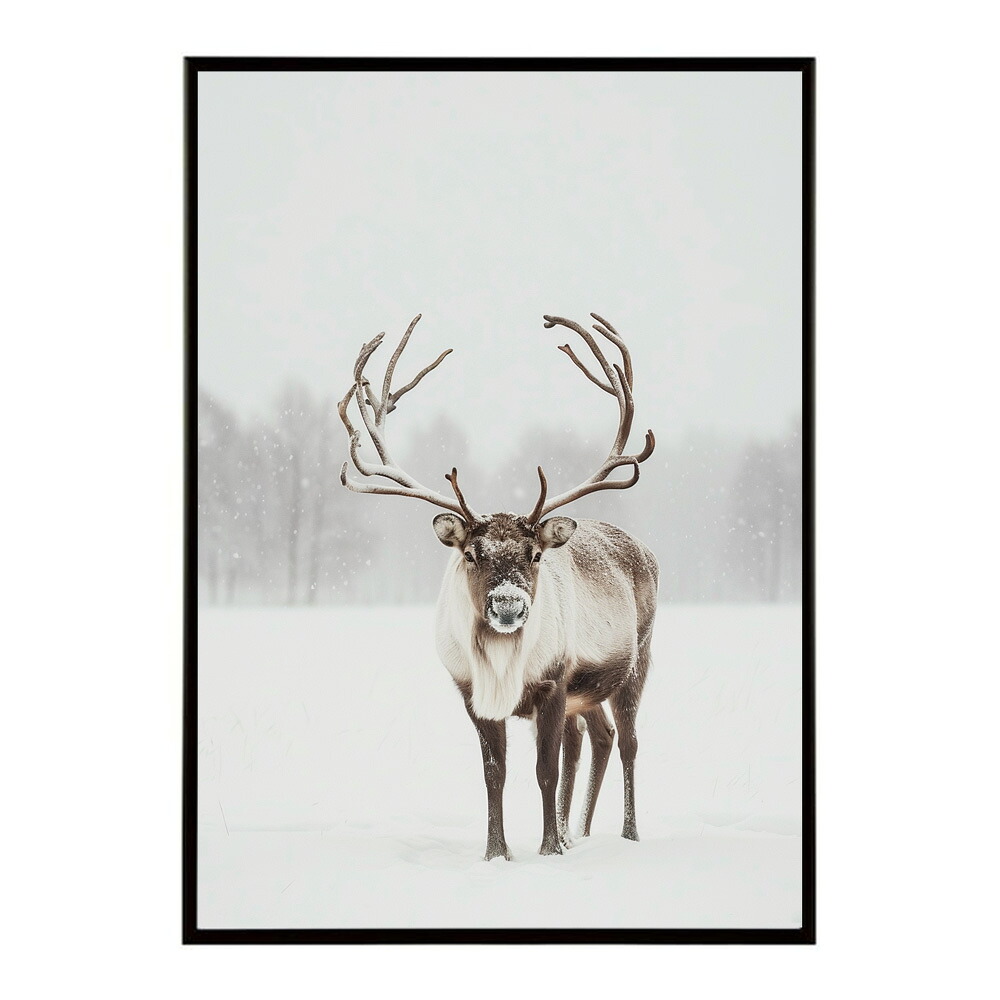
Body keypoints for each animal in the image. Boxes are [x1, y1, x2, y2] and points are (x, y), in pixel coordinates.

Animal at [338, 312, 658, 860]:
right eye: (471, 553)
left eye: (534, 554)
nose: (508, 604)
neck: (504, 667)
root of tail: (647, 553)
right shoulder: (471, 692)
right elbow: (495, 774)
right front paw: (497, 852)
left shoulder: (554, 681)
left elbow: (544, 770)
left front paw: (548, 849)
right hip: (586, 692)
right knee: (596, 736)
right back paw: (578, 832)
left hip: (636, 660)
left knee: (628, 742)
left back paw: (627, 835)